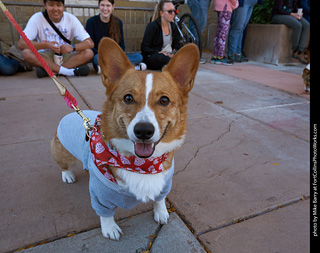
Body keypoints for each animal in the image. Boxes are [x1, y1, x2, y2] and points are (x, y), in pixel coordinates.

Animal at [51, 38, 199, 241]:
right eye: (128, 98)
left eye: (164, 100)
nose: (143, 131)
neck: (141, 165)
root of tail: (72, 113)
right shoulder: (101, 197)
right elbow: (105, 213)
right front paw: (110, 229)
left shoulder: (164, 185)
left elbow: (159, 199)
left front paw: (161, 213)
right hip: (62, 153)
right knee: (62, 164)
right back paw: (67, 175)